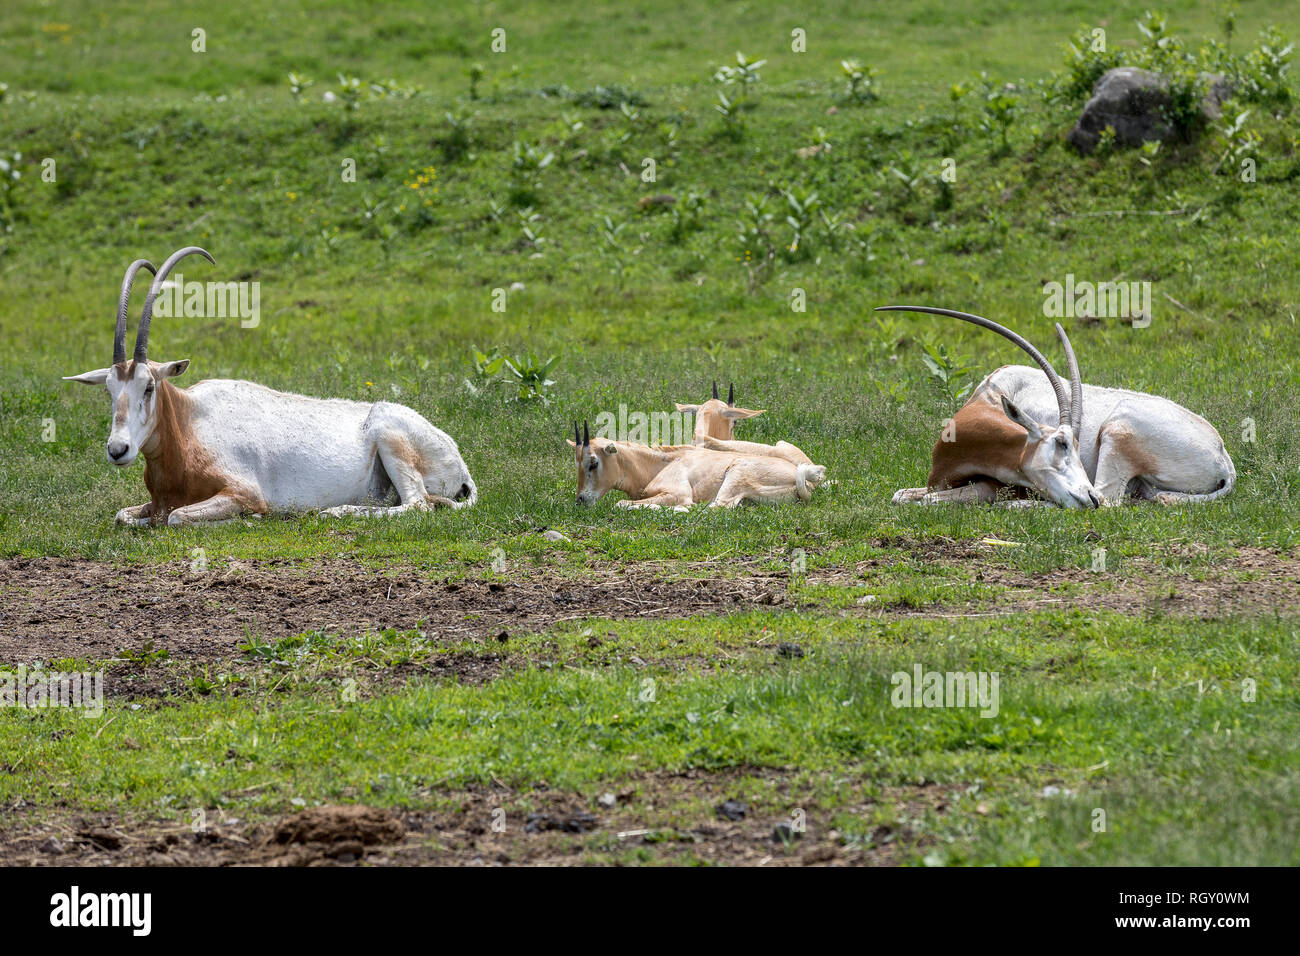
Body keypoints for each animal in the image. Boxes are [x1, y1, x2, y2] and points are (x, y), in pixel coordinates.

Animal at [64, 247, 477, 526]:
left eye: (148, 387)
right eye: (109, 390)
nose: (118, 450)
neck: (189, 424)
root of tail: (457, 460)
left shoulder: (242, 492)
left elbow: (176, 517)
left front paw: (250, 519)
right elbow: (124, 515)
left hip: (390, 436)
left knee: (418, 505)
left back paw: (336, 511)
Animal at [567, 421, 826, 509]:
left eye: (593, 463)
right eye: (577, 462)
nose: (581, 499)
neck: (659, 465)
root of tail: (804, 483)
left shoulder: (677, 493)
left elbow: (621, 503)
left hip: (736, 474)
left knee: (717, 507)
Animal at [879, 306, 1235, 509]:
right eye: (1062, 443)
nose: (1086, 498)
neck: (991, 397)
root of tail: (1223, 460)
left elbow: (936, 499)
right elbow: (901, 495)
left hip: (1117, 431)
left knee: (1109, 500)